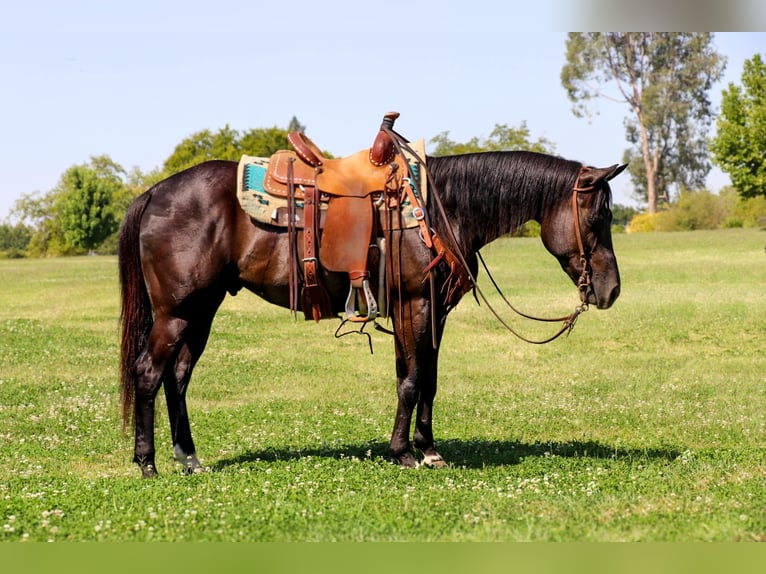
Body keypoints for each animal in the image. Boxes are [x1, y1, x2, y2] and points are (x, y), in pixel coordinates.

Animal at [118, 146, 626, 478]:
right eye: (597, 217)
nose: (612, 289)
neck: (438, 210)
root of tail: (155, 193)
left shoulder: (430, 312)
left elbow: (426, 380)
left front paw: (428, 449)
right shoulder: (414, 304)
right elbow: (412, 381)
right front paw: (404, 452)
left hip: (202, 309)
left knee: (177, 377)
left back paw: (189, 459)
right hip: (176, 311)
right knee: (149, 372)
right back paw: (147, 463)